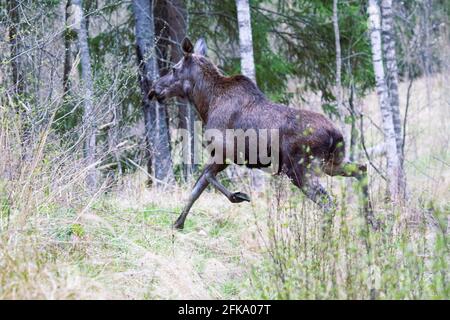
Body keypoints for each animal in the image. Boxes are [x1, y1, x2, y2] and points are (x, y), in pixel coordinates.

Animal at [149, 37, 376, 231]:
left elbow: (205, 178)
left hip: (300, 169)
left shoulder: (225, 153)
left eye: (174, 68)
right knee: (361, 169)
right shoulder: (222, 156)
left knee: (329, 202)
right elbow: (197, 188)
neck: (205, 105)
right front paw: (177, 224)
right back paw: (373, 226)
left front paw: (238, 196)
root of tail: (335, 134)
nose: (153, 89)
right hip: (330, 163)